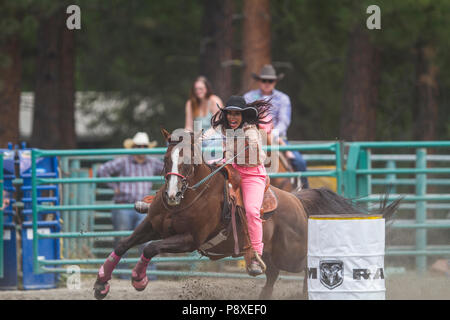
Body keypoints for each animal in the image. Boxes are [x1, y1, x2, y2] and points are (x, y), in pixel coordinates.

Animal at [93, 128, 400, 300]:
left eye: (188, 162)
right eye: (166, 159)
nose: (170, 195)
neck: (189, 197)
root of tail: (299, 201)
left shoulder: (190, 240)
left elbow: (150, 248)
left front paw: (139, 279)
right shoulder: (152, 224)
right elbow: (124, 244)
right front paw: (101, 284)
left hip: (292, 254)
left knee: (308, 266)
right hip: (271, 254)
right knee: (272, 274)